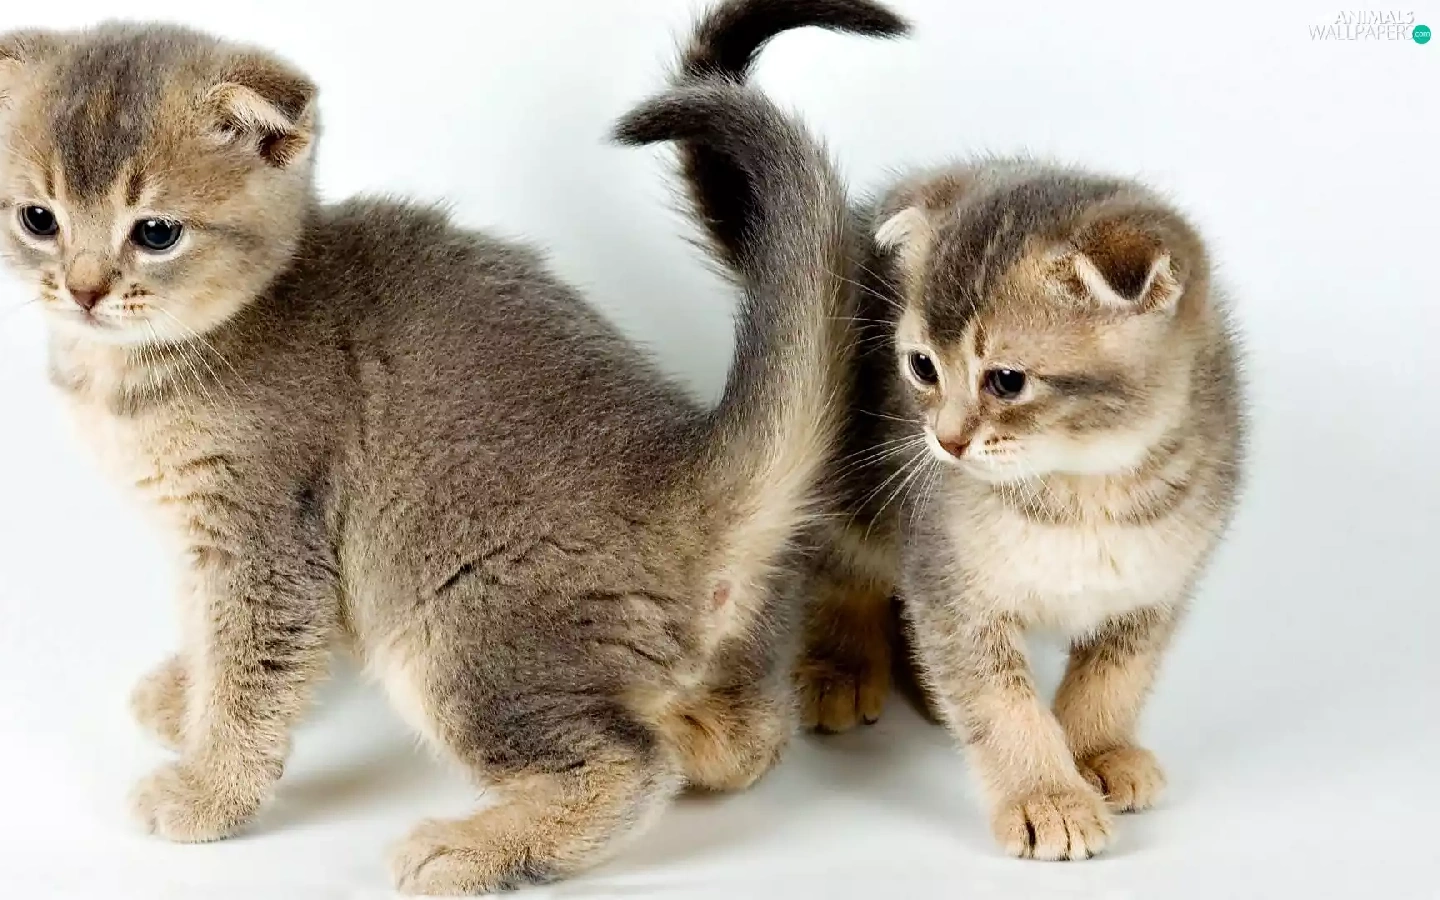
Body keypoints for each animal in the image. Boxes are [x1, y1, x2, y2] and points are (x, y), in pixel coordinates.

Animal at [0, 21, 865, 894]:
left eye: (156, 233)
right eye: (39, 220)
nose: (82, 290)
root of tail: (686, 473)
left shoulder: (267, 543)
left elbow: (250, 673)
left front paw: (211, 790)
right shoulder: (200, 536)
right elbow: (206, 631)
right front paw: (188, 698)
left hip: (456, 632)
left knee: (623, 765)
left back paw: (474, 847)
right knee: (749, 740)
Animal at [677, 0, 1245, 860]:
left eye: (1005, 380)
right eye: (920, 367)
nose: (943, 441)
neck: (1085, 489)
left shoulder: (1155, 587)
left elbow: (1114, 676)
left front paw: (1096, 752)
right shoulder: (953, 585)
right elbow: (1001, 705)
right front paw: (1048, 797)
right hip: (852, 485)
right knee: (849, 568)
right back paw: (845, 664)